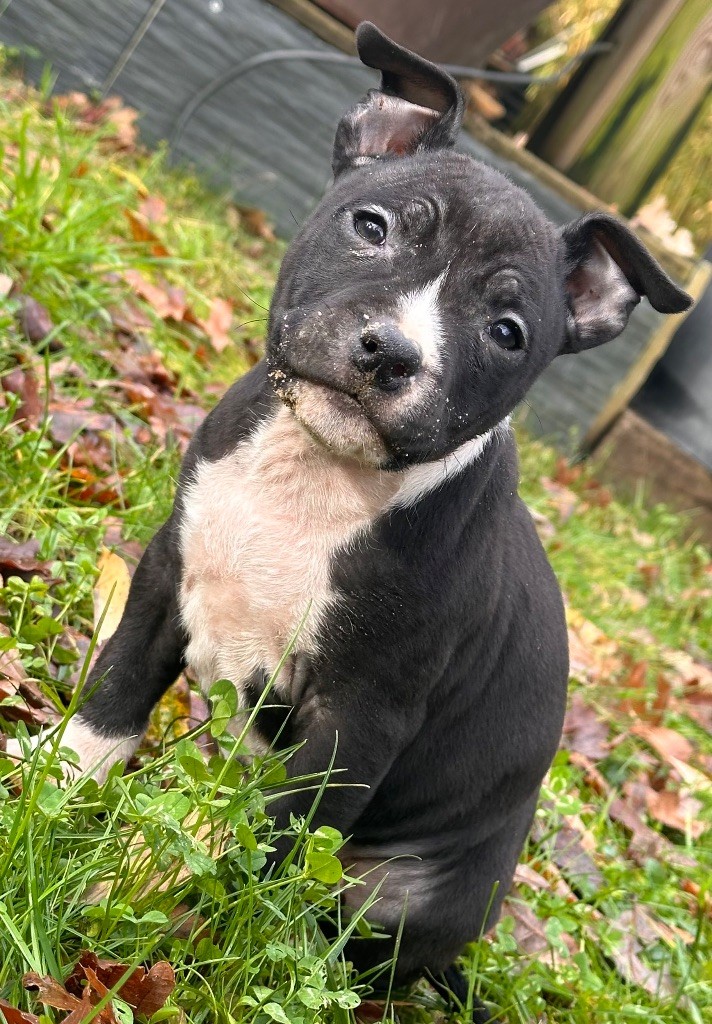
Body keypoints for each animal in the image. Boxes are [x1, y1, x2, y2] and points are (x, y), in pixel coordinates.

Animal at [7, 21, 691, 1017]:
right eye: (372, 226)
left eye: (508, 332)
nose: (392, 352)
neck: (321, 476)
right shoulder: (167, 573)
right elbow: (113, 700)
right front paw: (48, 785)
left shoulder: (358, 722)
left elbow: (265, 850)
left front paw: (184, 929)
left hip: (399, 892)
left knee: (333, 926)